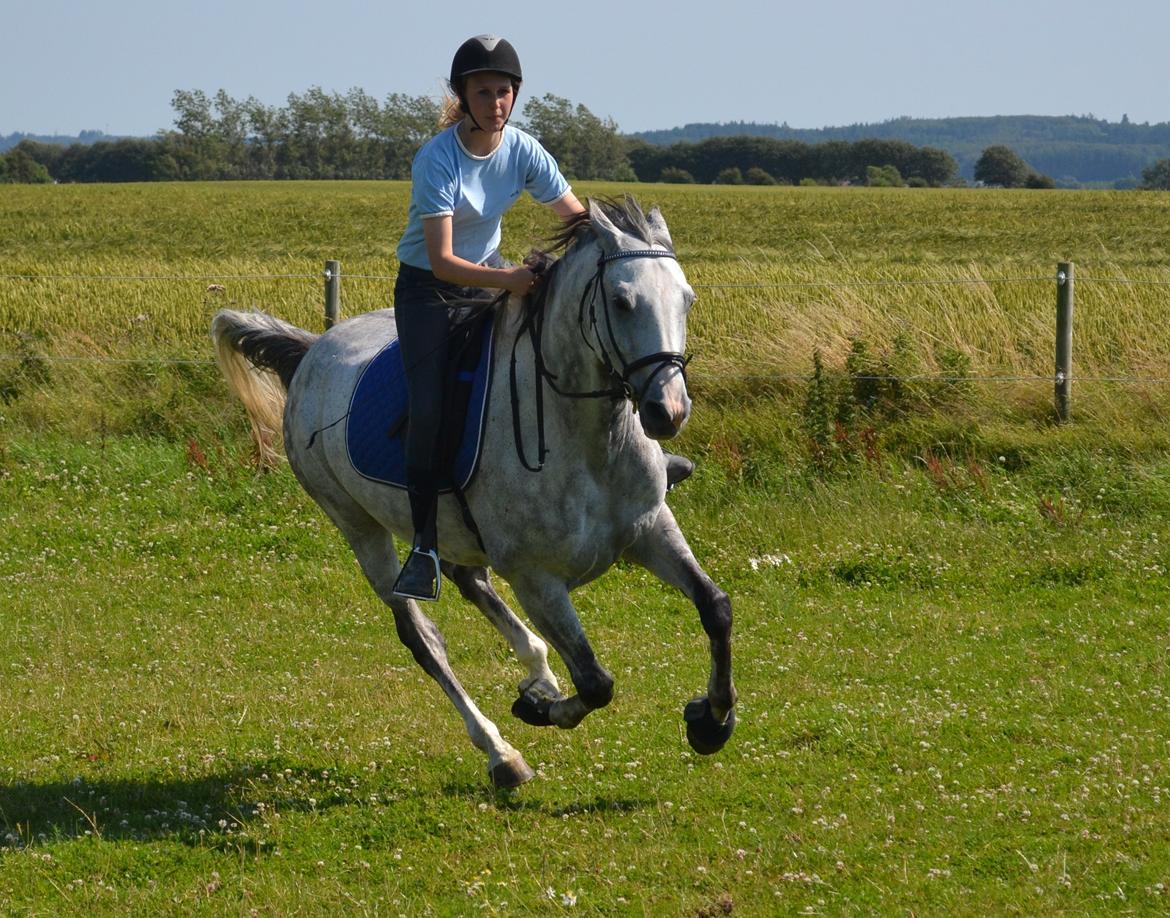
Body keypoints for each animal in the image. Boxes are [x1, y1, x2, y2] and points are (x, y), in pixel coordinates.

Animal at [215, 198, 734, 785]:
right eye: (623, 302)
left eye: (687, 299)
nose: (667, 412)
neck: (585, 441)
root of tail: (310, 352)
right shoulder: (536, 579)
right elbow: (595, 681)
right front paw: (539, 711)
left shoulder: (650, 530)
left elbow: (715, 608)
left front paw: (712, 720)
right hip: (360, 529)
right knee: (423, 639)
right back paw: (502, 751)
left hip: (449, 528)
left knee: (471, 581)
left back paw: (537, 671)